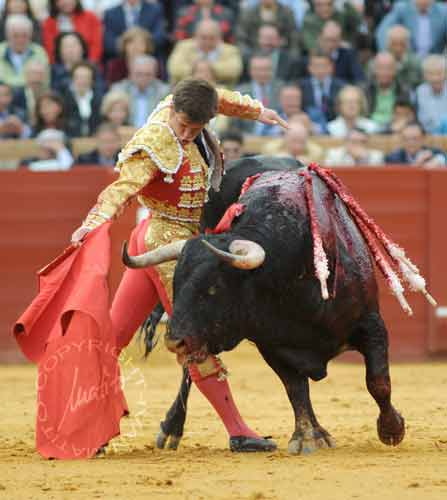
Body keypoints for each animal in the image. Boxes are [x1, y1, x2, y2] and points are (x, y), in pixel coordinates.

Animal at [124, 158, 408, 456]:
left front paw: (391, 429)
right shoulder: (271, 344)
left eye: (213, 289)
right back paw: (172, 428)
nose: (175, 341)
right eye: (176, 285)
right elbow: (295, 388)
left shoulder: (372, 323)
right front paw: (307, 437)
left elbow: (378, 381)